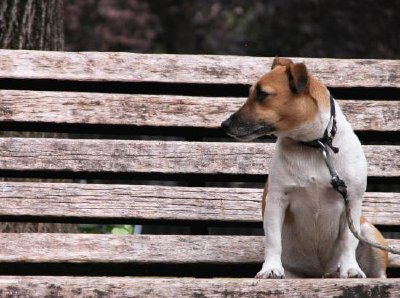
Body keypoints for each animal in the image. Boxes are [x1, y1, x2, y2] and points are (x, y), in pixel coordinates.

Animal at [222, 58, 388, 280]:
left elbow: (348, 241)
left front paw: (350, 268)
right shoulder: (276, 200)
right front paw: (271, 268)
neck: (315, 145)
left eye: (262, 94)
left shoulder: (352, 200)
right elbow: (273, 240)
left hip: (369, 232)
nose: (224, 124)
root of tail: (319, 273)